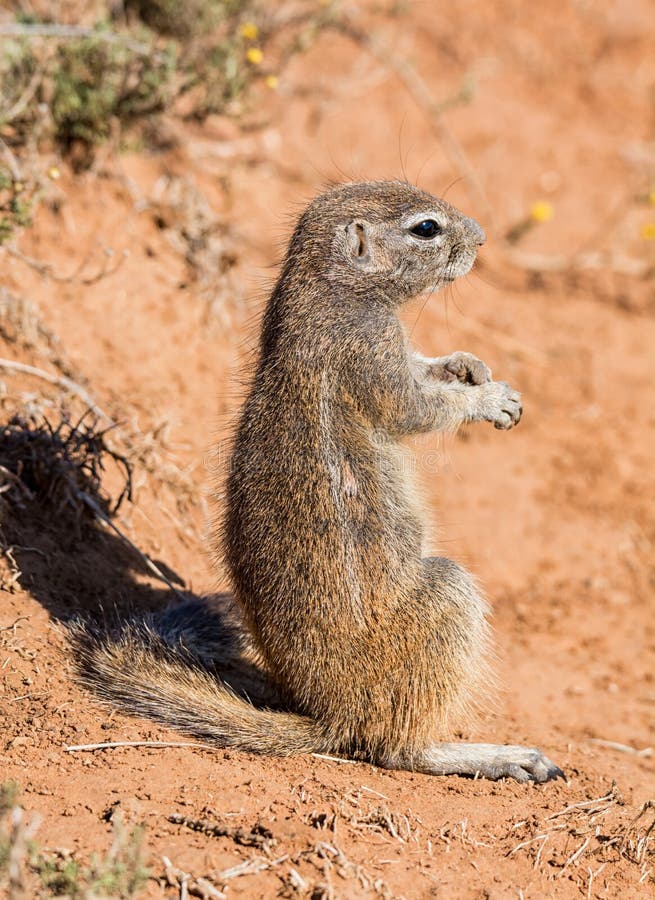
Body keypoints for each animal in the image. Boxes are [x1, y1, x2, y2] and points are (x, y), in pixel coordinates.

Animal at [74, 181, 564, 784]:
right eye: (426, 228)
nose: (482, 238)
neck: (333, 292)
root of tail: (327, 716)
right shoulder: (371, 355)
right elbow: (418, 408)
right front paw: (488, 399)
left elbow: (426, 366)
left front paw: (466, 364)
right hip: (447, 599)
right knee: (392, 747)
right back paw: (497, 756)